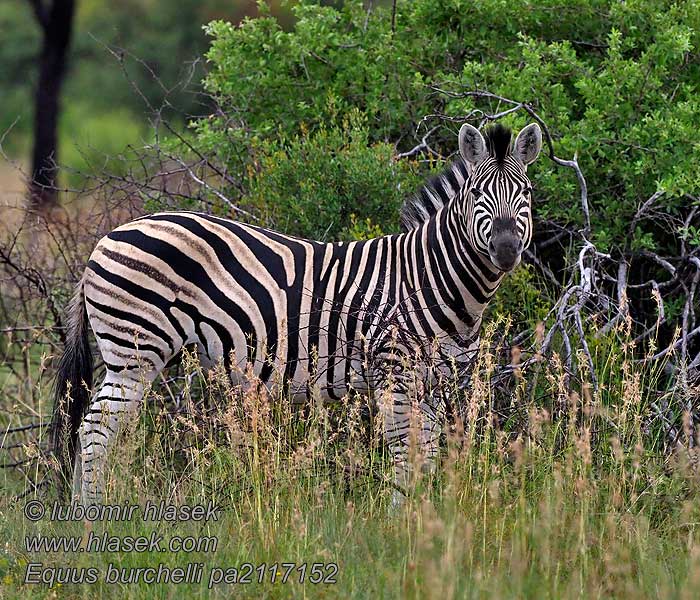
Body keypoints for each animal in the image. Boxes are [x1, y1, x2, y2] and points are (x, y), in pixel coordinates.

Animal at [52, 123, 544, 506]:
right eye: (478, 195)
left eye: (525, 194)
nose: (506, 250)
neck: (430, 279)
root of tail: (106, 238)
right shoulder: (394, 371)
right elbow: (406, 452)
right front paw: (402, 520)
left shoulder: (437, 381)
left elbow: (429, 452)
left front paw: (427, 518)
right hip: (135, 353)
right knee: (94, 432)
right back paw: (93, 518)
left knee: (90, 429)